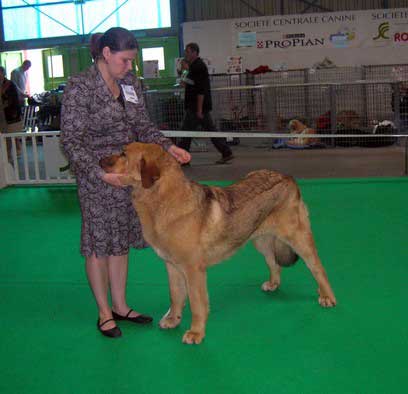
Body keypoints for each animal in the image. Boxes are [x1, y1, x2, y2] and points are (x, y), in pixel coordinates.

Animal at [100, 143, 336, 344]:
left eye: (123, 154)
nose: (100, 160)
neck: (163, 201)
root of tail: (288, 177)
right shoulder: (172, 266)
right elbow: (175, 296)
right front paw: (173, 319)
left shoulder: (193, 270)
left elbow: (196, 303)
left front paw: (196, 333)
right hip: (259, 239)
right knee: (273, 262)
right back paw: (273, 284)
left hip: (298, 237)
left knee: (318, 267)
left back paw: (327, 297)